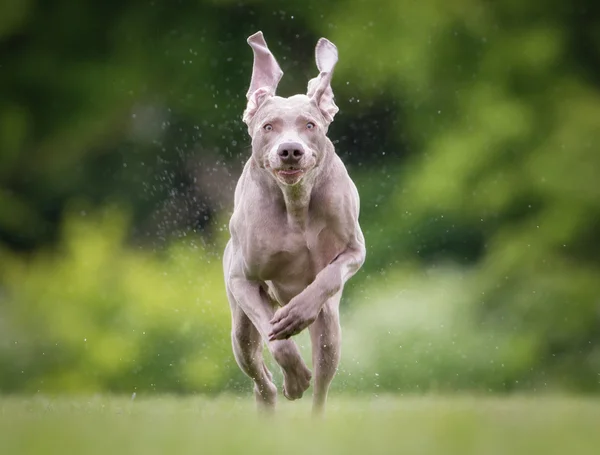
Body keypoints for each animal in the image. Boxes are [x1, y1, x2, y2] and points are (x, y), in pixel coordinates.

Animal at [223, 31, 366, 416]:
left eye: (310, 125)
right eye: (268, 127)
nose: (290, 150)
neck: (295, 204)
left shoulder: (354, 249)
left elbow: (329, 275)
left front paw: (298, 312)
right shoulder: (243, 280)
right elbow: (278, 343)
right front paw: (295, 379)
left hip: (330, 332)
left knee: (322, 385)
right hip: (239, 330)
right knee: (260, 375)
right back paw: (276, 395)